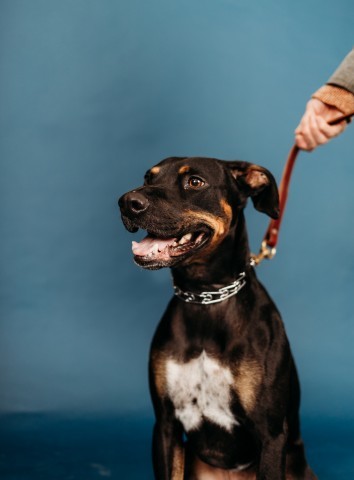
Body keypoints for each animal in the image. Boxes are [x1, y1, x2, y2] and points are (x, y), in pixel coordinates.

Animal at [118, 158, 316, 480]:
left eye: (195, 182)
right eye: (148, 177)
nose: (126, 202)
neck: (205, 299)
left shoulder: (272, 435)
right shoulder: (165, 426)